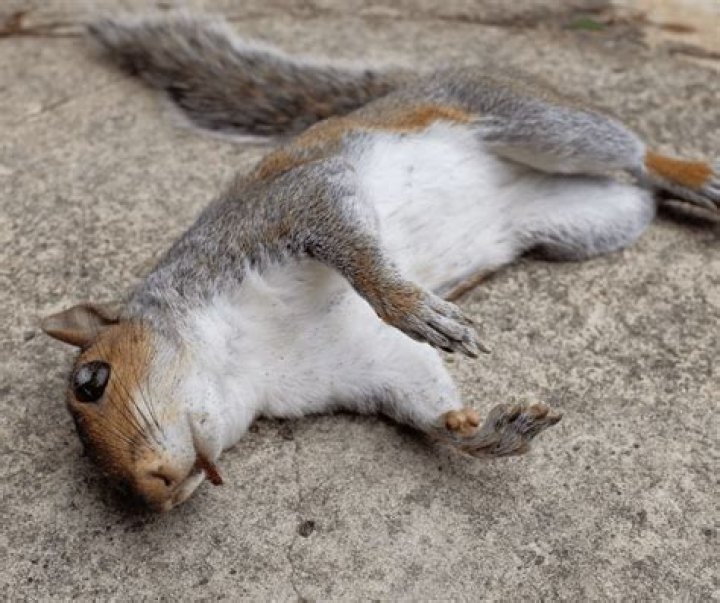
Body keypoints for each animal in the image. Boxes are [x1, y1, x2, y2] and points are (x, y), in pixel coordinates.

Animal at [40, 13, 718, 511]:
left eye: (91, 381)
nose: (150, 496)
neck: (241, 357)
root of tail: (415, 81)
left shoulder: (288, 208)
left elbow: (353, 246)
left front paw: (414, 308)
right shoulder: (361, 362)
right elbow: (423, 395)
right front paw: (484, 433)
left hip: (535, 123)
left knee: (633, 154)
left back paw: (696, 177)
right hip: (588, 220)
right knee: (639, 191)